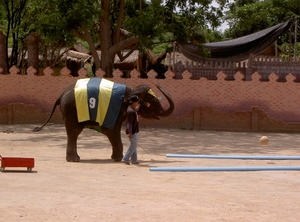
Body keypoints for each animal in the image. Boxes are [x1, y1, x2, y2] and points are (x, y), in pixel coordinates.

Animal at [32, 77, 173, 162]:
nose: (158, 84)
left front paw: (116, 158)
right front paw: (119, 158)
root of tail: (61, 95)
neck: (131, 89)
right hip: (71, 111)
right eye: (153, 103)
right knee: (74, 132)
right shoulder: (115, 110)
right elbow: (112, 131)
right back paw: (74, 159)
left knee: (73, 133)